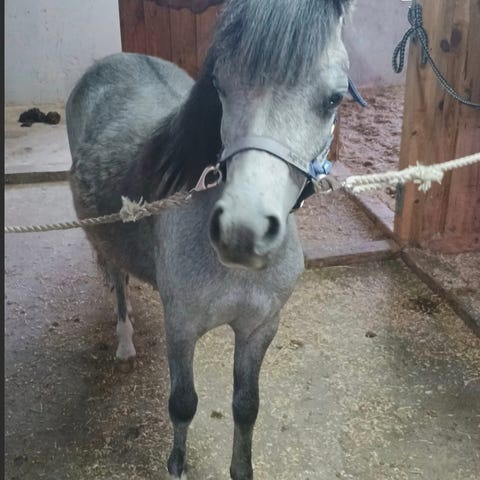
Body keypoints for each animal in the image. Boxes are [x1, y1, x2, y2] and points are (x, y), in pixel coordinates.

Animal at [67, 0, 353, 478]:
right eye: (220, 84)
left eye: (334, 98)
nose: (243, 230)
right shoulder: (181, 328)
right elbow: (183, 404)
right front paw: (176, 466)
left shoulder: (259, 328)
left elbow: (246, 407)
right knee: (119, 283)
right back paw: (124, 343)